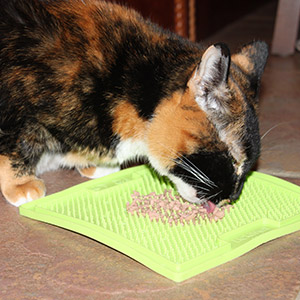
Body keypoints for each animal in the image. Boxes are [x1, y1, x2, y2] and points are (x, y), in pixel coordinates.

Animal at [0, 0, 268, 209]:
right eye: (233, 160)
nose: (233, 197)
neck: (124, 84)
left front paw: (93, 166)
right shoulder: (15, 105)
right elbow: (16, 144)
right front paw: (21, 186)